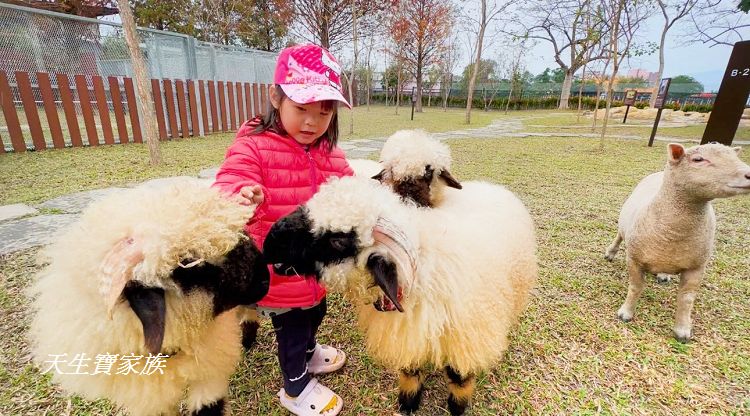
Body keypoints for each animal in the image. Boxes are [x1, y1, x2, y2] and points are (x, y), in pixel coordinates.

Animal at [264, 176, 540, 416]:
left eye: (338, 240)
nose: (271, 239)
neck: (427, 269)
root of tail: (491, 186)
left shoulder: (467, 337)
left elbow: (459, 377)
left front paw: (457, 407)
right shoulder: (407, 330)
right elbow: (410, 370)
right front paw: (407, 403)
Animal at [604, 142, 750, 342]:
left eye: (735, 158)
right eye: (698, 159)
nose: (749, 174)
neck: (673, 233)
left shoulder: (696, 267)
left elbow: (686, 299)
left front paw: (682, 331)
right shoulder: (634, 259)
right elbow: (635, 287)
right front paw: (625, 313)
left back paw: (663, 275)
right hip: (624, 224)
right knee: (619, 236)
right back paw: (610, 253)